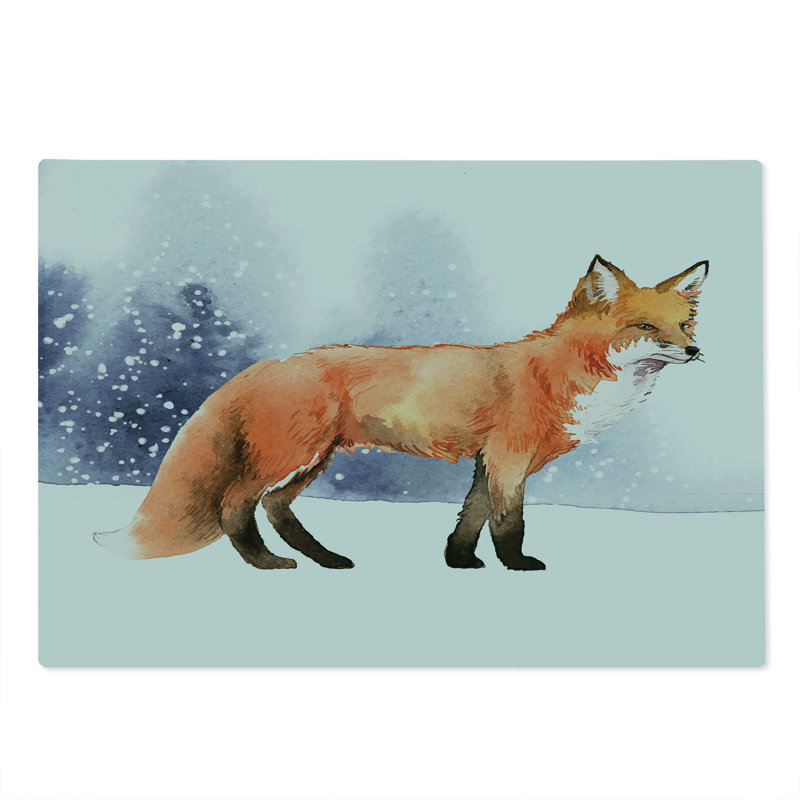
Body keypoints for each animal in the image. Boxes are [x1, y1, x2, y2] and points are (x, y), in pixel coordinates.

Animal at [94, 255, 707, 571]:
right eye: (645, 327)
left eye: (683, 326)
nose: (696, 352)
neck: (564, 372)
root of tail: (272, 362)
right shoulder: (509, 457)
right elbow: (508, 523)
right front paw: (516, 566)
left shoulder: (487, 461)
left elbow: (470, 517)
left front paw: (459, 563)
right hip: (289, 456)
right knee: (234, 507)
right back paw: (268, 565)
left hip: (311, 461)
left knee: (275, 508)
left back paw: (326, 559)